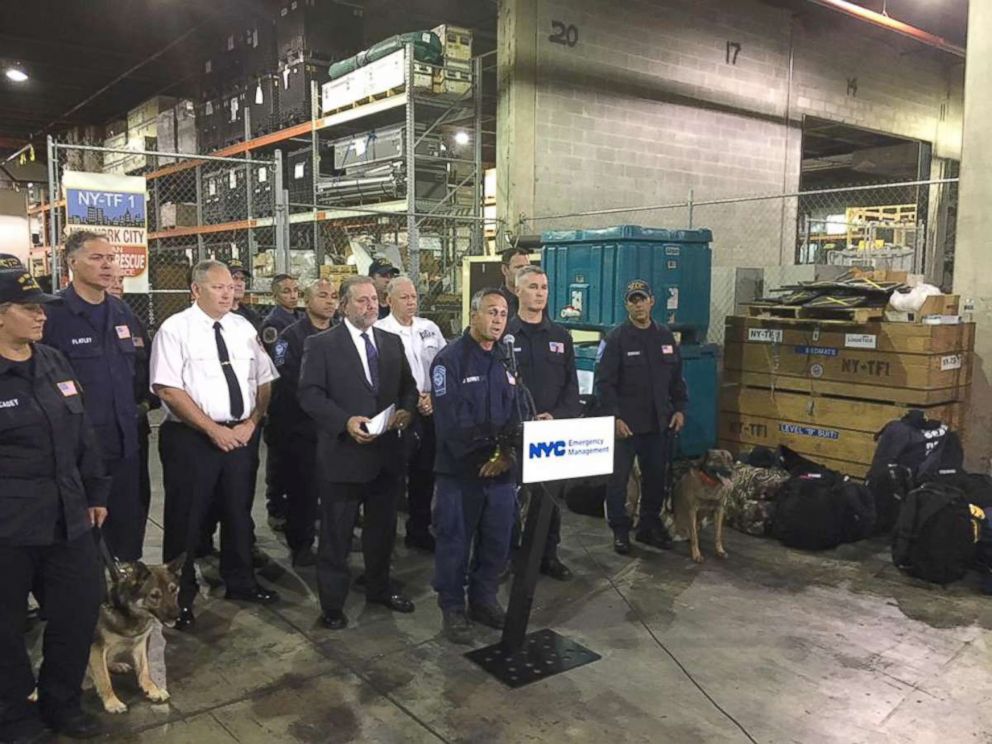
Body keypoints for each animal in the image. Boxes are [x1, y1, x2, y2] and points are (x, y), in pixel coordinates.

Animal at [88, 560, 183, 716]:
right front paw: (112, 702)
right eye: (154, 596)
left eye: (173, 590)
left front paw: (153, 690)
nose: (177, 615)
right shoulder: (96, 648)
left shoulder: (140, 643)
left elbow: (144, 670)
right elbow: (104, 679)